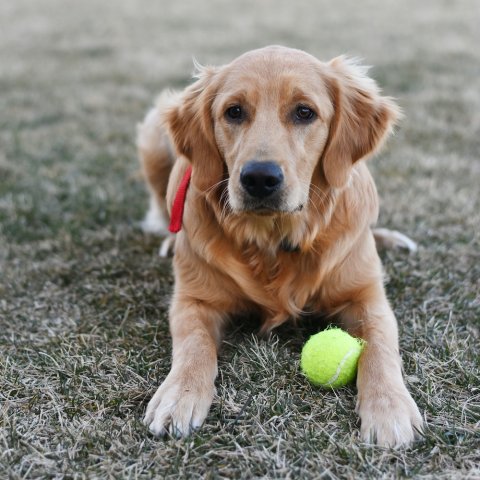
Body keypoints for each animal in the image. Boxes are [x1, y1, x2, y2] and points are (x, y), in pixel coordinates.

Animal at [137, 47, 422, 448]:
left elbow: (381, 347)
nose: (259, 178)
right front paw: (178, 395)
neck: (272, 240)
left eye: (304, 112)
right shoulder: (194, 299)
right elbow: (194, 345)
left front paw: (390, 408)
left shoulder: (367, 297)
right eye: (234, 111)